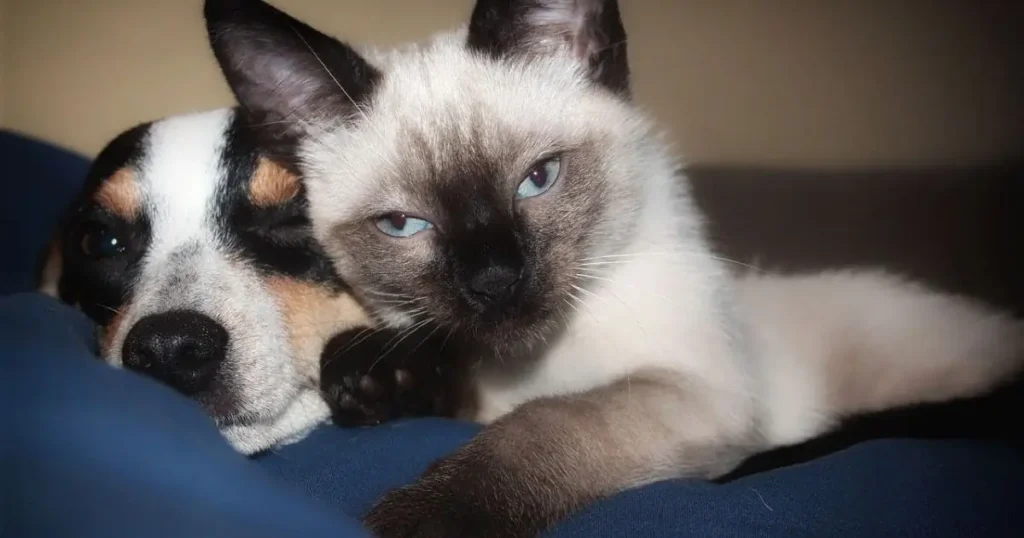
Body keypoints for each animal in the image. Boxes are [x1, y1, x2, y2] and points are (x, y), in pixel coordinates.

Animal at [201, 0, 1024, 532]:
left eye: (538, 180)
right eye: (404, 225)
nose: (495, 283)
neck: (529, 365)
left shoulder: (693, 394)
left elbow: (536, 432)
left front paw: (407, 522)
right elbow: (420, 371)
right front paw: (372, 376)